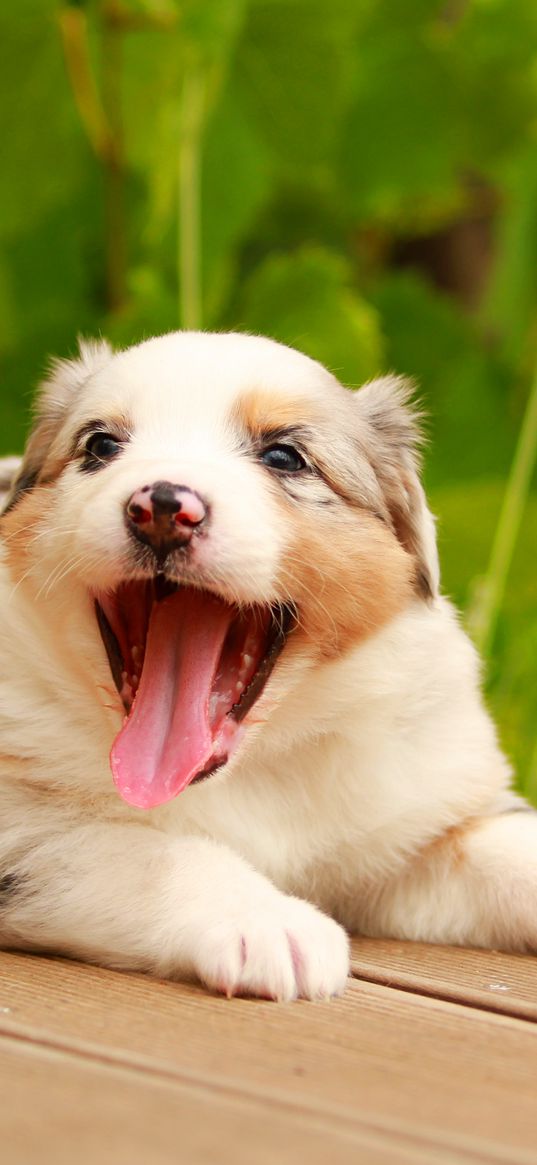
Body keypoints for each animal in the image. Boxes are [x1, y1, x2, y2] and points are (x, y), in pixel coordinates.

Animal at [0, 330, 531, 1001]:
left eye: (283, 457)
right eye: (100, 446)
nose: (163, 506)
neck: (253, 771)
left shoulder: (410, 835)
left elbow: (502, 848)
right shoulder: (23, 825)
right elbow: (137, 847)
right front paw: (266, 922)